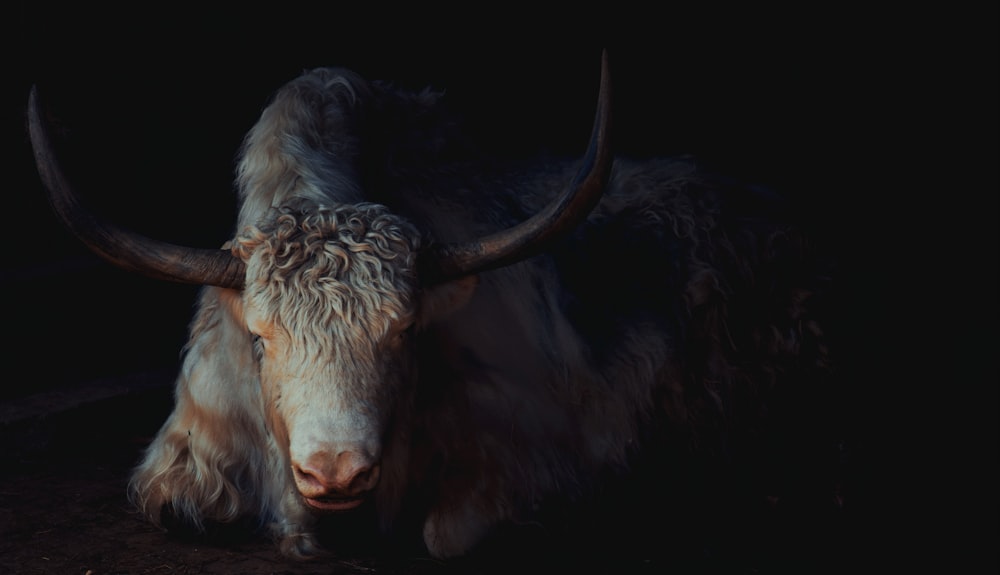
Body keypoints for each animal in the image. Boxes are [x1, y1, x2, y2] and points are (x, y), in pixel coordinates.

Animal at [25, 51, 836, 560]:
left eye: (406, 333)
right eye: (259, 340)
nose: (336, 473)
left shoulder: (550, 445)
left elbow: (448, 533)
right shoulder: (181, 464)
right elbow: (183, 504)